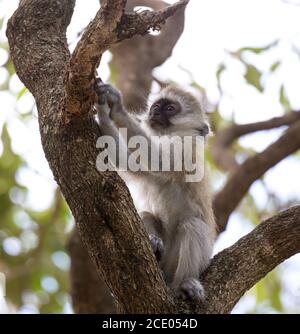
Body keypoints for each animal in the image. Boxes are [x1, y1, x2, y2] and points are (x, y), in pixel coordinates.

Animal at [95, 79, 214, 302]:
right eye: (156, 106)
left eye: (170, 108)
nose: (154, 112)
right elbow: (127, 162)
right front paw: (103, 113)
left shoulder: (186, 148)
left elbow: (161, 160)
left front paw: (117, 108)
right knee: (147, 215)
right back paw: (154, 245)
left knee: (193, 225)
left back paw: (184, 284)